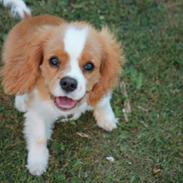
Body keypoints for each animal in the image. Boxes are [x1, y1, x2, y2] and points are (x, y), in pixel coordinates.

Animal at [0, 8, 123, 176]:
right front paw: (37, 161)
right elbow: (39, 136)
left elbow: (103, 100)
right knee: (18, 79)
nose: (69, 83)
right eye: (53, 61)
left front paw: (107, 117)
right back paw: (21, 100)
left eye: (89, 66)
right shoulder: (37, 110)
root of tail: (29, 18)